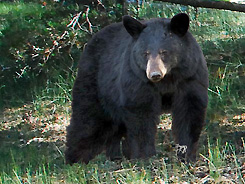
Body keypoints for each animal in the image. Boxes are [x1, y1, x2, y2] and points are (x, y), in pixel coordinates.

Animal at [65, 13, 209, 164]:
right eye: (145, 53)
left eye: (164, 52)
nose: (154, 74)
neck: (167, 80)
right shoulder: (137, 80)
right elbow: (142, 114)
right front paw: (145, 156)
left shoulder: (190, 77)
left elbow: (189, 111)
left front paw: (187, 154)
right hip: (95, 82)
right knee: (88, 117)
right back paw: (76, 157)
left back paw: (115, 156)